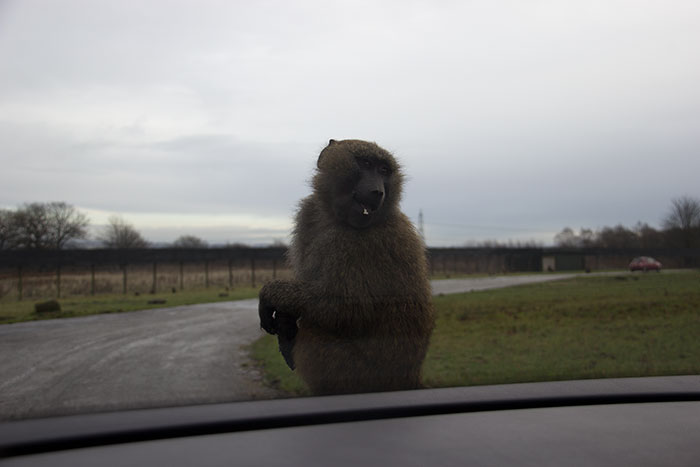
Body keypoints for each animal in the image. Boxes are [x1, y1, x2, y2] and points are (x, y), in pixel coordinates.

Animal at [259, 139, 434, 395]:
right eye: (366, 163)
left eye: (384, 170)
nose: (377, 192)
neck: (334, 217)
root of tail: (410, 379)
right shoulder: (309, 212)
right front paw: (285, 322)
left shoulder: (354, 243)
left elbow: (345, 310)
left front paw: (272, 295)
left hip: (357, 374)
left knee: (319, 329)